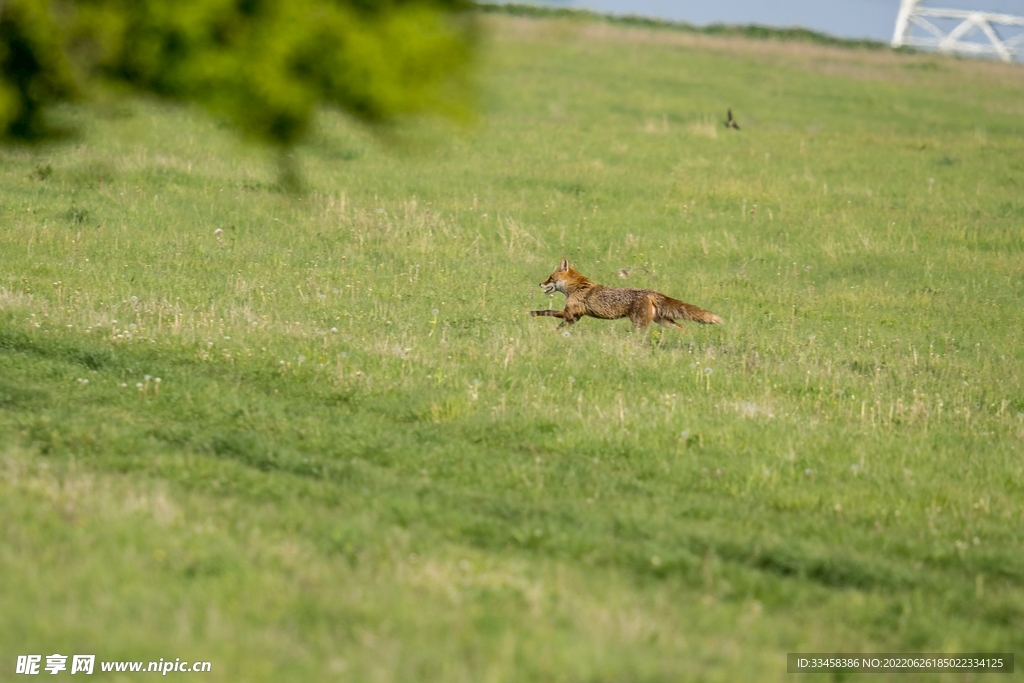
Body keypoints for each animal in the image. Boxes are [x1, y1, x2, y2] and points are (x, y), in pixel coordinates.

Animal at [532, 259, 724, 331]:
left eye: (550, 278)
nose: (539, 283)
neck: (577, 288)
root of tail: (650, 292)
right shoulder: (574, 317)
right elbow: (559, 326)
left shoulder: (569, 313)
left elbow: (546, 312)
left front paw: (533, 313)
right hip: (661, 320)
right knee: (682, 327)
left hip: (640, 323)